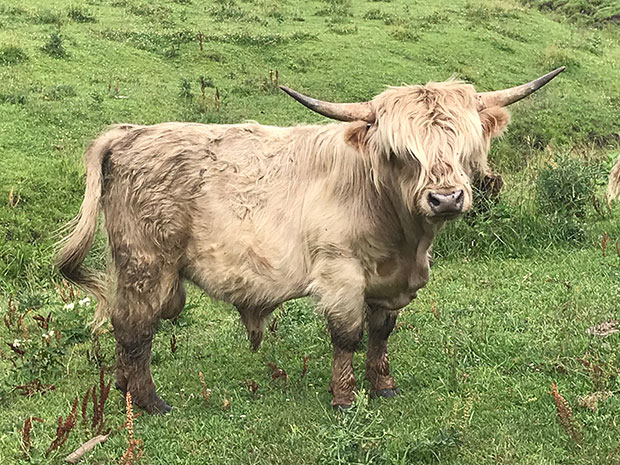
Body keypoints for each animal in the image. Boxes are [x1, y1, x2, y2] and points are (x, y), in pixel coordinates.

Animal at [55, 67, 564, 412]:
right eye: (402, 153)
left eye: (465, 146)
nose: (445, 198)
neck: (404, 238)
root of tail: (129, 134)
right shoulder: (340, 274)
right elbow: (347, 335)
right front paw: (344, 398)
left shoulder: (388, 284)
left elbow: (381, 333)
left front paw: (383, 386)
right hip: (146, 263)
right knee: (135, 327)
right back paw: (148, 401)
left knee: (126, 325)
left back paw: (123, 389)